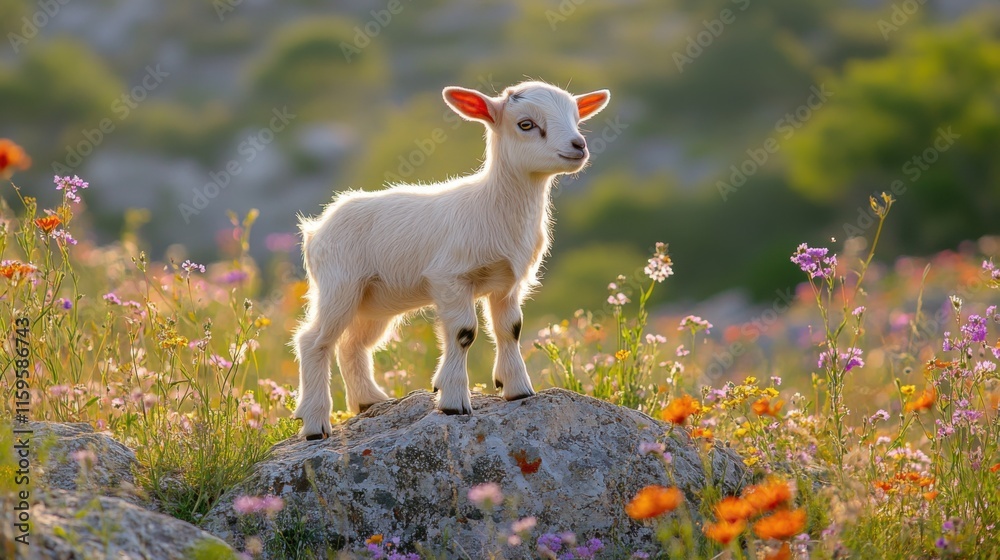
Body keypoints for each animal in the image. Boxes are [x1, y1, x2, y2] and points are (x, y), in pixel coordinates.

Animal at [293, 80, 610, 439]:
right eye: (526, 124)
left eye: (576, 118)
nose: (578, 145)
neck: (492, 204)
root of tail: (316, 229)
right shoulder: (450, 277)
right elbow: (464, 332)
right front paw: (454, 401)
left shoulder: (508, 282)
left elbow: (510, 329)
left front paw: (518, 389)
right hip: (339, 284)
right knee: (314, 341)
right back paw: (315, 422)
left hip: (374, 300)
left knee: (352, 345)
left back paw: (370, 400)